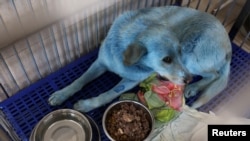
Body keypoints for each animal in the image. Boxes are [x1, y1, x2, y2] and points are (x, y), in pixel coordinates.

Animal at [47, 5, 231, 112]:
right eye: (167, 59)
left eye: (178, 52)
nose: (187, 79)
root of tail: (228, 42)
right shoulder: (100, 63)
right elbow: (79, 81)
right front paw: (62, 94)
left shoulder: (131, 81)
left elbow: (108, 95)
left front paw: (87, 105)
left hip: (192, 60)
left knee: (214, 75)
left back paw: (194, 87)